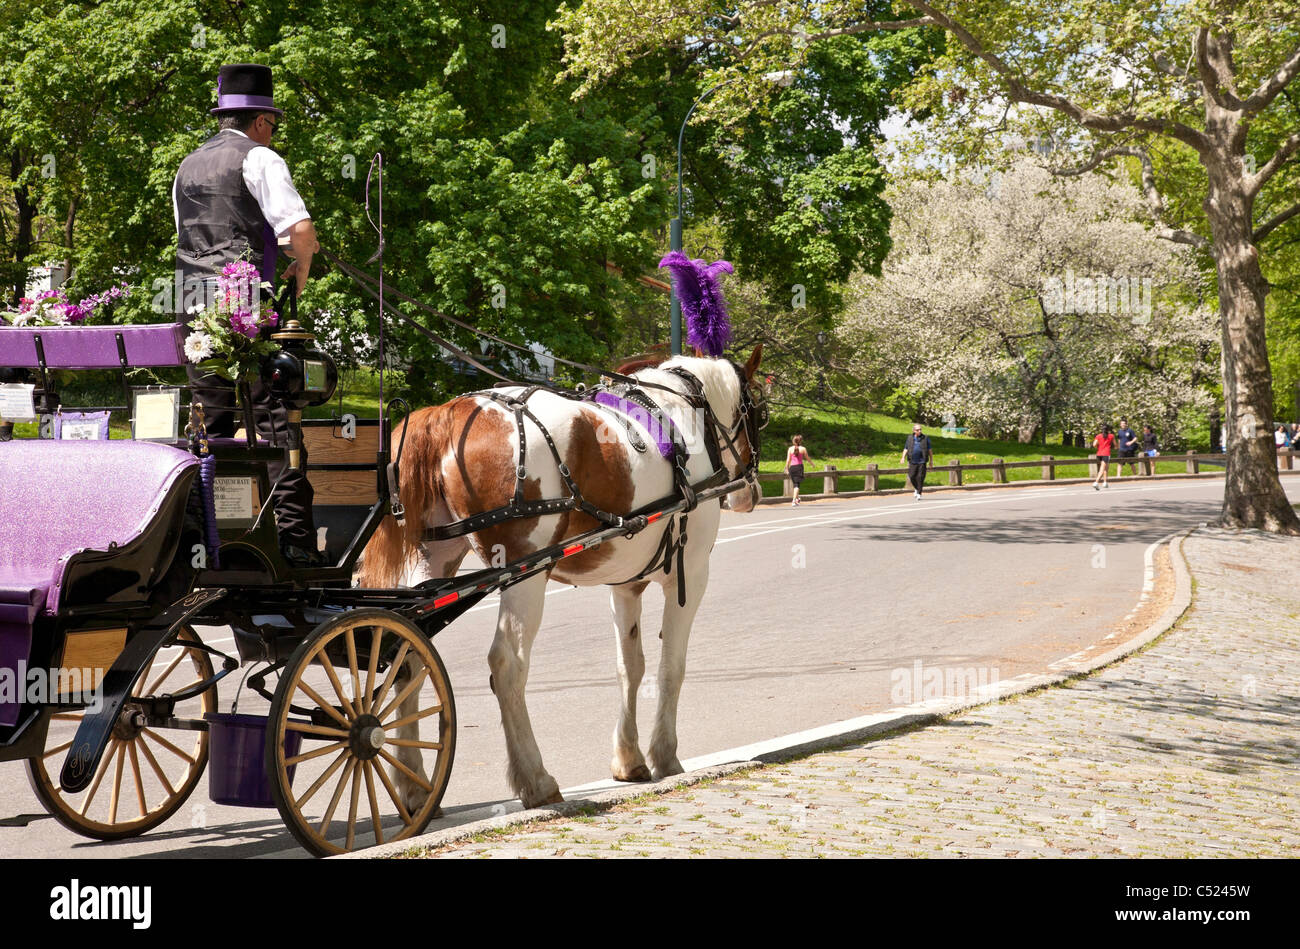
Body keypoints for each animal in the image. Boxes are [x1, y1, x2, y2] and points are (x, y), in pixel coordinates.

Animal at [358, 348, 759, 806]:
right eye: (758, 413)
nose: (750, 493)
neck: (681, 417)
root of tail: (448, 414)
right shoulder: (689, 574)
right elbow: (671, 667)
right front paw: (665, 756)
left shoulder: (626, 586)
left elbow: (630, 667)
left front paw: (629, 759)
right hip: (524, 575)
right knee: (507, 664)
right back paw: (536, 780)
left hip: (435, 560)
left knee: (407, 656)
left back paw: (413, 786)